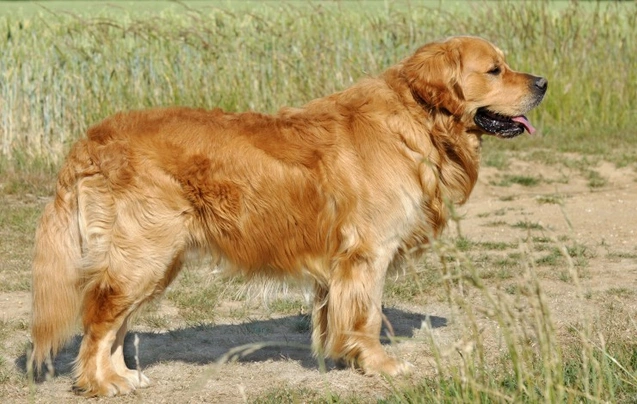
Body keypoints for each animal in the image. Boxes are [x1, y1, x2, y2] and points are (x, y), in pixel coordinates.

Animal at [31, 36, 548, 396]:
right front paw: (380, 364)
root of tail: (89, 140)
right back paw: (101, 382)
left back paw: (123, 375)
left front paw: (342, 358)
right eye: (495, 69)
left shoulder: (338, 265)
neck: (419, 121)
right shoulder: (368, 253)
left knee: (114, 323)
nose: (543, 83)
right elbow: (368, 317)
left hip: (155, 259)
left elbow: (334, 316)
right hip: (145, 253)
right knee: (99, 319)